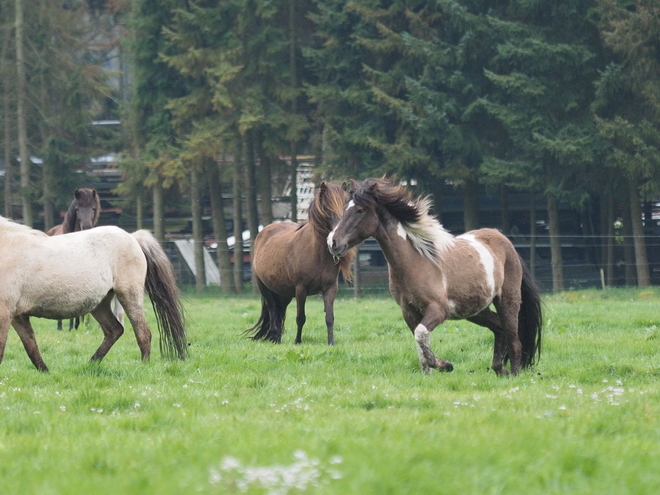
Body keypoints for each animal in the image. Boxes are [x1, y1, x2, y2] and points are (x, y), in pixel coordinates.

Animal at [0, 217, 187, 372]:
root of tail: (133, 237)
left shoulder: (5, 313)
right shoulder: (18, 316)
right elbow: (31, 346)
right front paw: (45, 371)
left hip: (129, 296)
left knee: (143, 333)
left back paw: (143, 367)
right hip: (99, 305)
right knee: (114, 330)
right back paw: (91, 364)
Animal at [47, 188, 102, 332]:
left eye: (93, 208)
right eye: (77, 209)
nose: (86, 227)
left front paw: (77, 325)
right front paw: (71, 326)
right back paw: (60, 326)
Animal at [245, 181, 354, 344]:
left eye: (346, 206)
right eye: (327, 207)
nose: (337, 241)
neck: (317, 254)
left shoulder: (330, 288)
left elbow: (329, 317)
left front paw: (331, 342)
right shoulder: (301, 289)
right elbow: (300, 317)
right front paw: (297, 341)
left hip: (283, 292)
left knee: (279, 310)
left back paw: (277, 337)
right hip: (264, 287)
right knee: (272, 308)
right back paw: (274, 337)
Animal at [328, 178, 544, 376]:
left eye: (359, 210)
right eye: (345, 208)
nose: (333, 243)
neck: (415, 262)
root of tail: (507, 244)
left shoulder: (439, 309)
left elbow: (421, 334)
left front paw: (445, 365)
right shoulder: (409, 312)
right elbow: (419, 340)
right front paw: (429, 374)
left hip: (507, 301)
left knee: (514, 339)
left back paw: (514, 374)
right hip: (476, 310)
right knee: (499, 328)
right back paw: (499, 369)